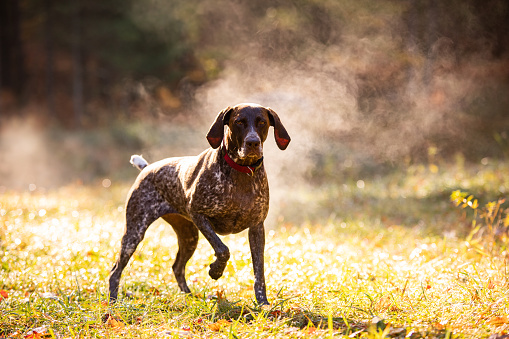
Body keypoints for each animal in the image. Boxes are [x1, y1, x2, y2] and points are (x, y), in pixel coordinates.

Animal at [108, 103, 290, 306]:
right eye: (239, 122)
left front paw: (262, 302)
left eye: (262, 122)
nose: (252, 142)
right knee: (115, 270)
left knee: (177, 267)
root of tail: (147, 168)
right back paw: (113, 301)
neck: (242, 172)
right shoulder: (199, 215)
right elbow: (223, 249)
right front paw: (215, 270)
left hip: (189, 237)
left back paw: (188, 296)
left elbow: (259, 270)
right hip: (135, 232)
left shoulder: (257, 228)